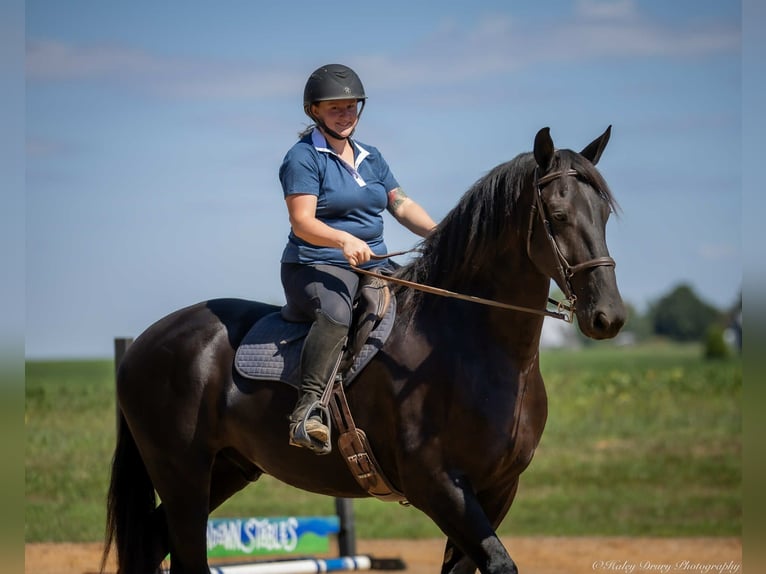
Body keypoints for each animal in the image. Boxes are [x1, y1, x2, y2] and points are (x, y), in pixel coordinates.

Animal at [101, 126, 626, 574]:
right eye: (557, 216)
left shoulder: (496, 489)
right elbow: (500, 563)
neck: (471, 350)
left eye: (603, 215)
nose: (608, 316)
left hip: (226, 469)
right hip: (182, 474)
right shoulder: (440, 486)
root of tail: (145, 342)